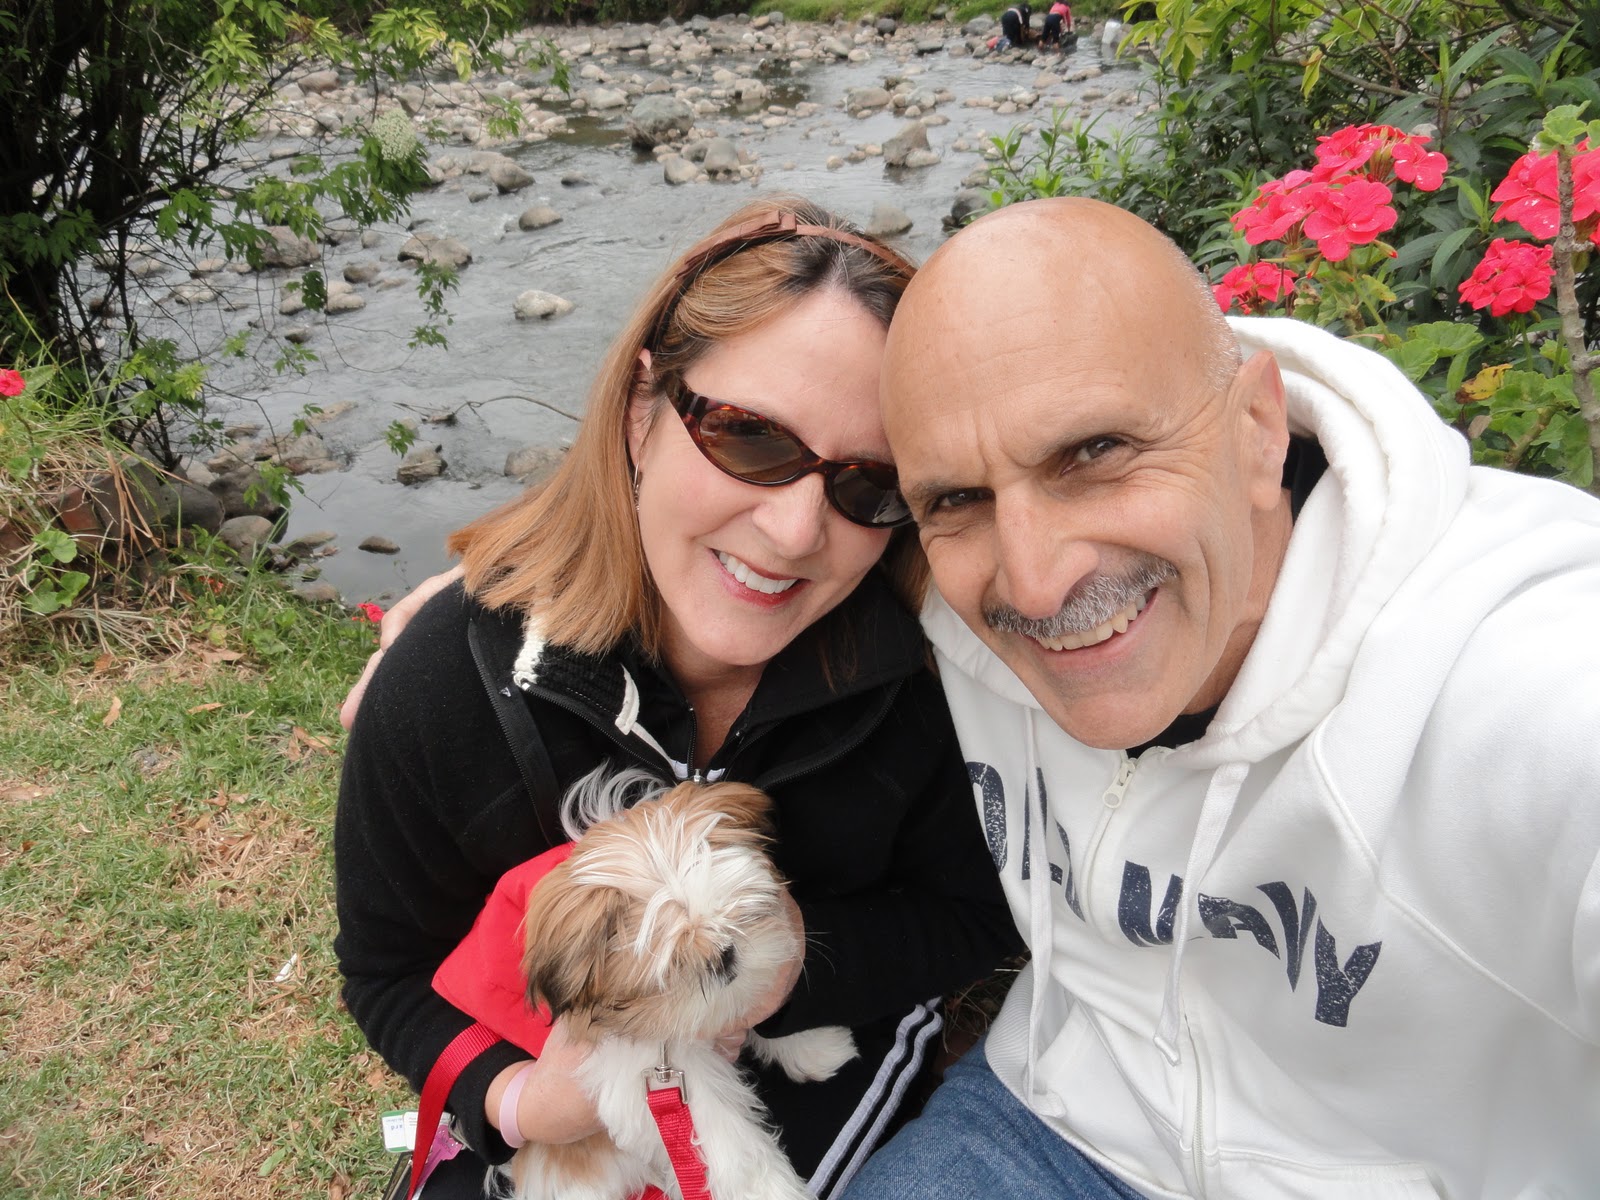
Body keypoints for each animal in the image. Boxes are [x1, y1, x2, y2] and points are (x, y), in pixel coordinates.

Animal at [501, 770, 857, 1200]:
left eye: (738, 914)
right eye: (675, 963)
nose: (725, 955)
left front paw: (814, 1046)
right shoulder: (640, 1071)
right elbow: (722, 1130)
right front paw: (767, 1188)